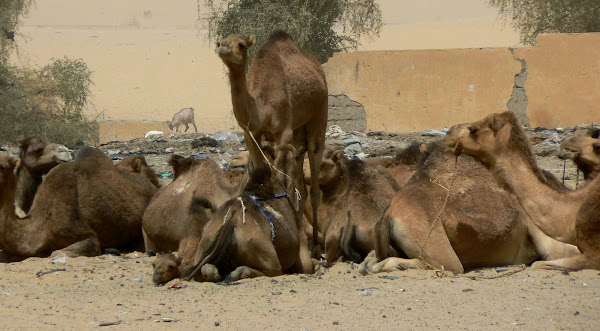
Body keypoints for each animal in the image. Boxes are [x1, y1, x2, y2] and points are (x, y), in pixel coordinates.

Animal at [182, 147, 314, 284]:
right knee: (272, 271)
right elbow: (308, 265)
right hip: (266, 255)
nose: (234, 161)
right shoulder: (302, 245)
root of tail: (231, 220)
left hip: (205, 243)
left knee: (207, 269)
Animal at [217, 29, 328, 258]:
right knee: (301, 186)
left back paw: (314, 247)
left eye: (241, 44)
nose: (222, 48)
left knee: (312, 182)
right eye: (219, 42)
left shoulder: (283, 131)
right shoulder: (251, 133)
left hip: (319, 114)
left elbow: (283, 180)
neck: (262, 104)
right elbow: (260, 170)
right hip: (298, 131)